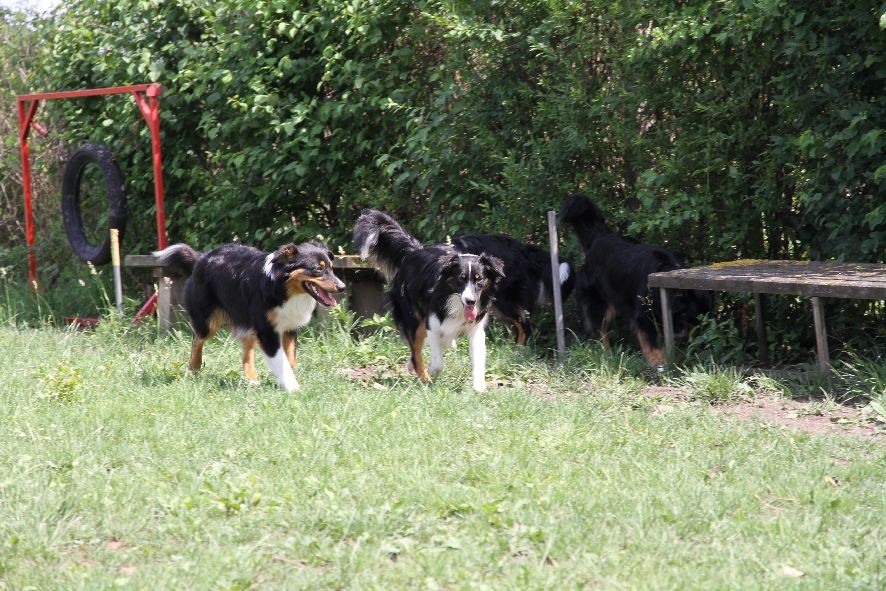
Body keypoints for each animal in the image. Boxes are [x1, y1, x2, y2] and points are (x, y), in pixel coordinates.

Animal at [153, 241, 345, 391]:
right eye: (318, 269)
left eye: (331, 268)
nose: (342, 287)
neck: (282, 288)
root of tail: (201, 258)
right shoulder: (267, 332)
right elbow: (281, 361)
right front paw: (294, 389)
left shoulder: (289, 327)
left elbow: (290, 360)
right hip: (207, 322)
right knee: (197, 340)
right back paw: (194, 368)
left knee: (246, 351)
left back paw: (251, 379)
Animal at [353, 209, 504, 391]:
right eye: (461, 279)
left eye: (479, 279)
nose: (470, 301)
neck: (453, 300)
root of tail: (413, 252)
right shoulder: (432, 324)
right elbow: (438, 362)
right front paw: (431, 371)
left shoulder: (475, 329)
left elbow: (478, 360)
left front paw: (479, 388)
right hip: (412, 318)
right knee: (416, 351)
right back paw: (423, 376)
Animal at [559, 194, 711, 366]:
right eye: (694, 317)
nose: (703, 340)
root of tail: (599, 237)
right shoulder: (643, 314)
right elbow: (650, 340)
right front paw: (657, 360)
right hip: (600, 302)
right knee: (600, 329)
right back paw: (607, 353)